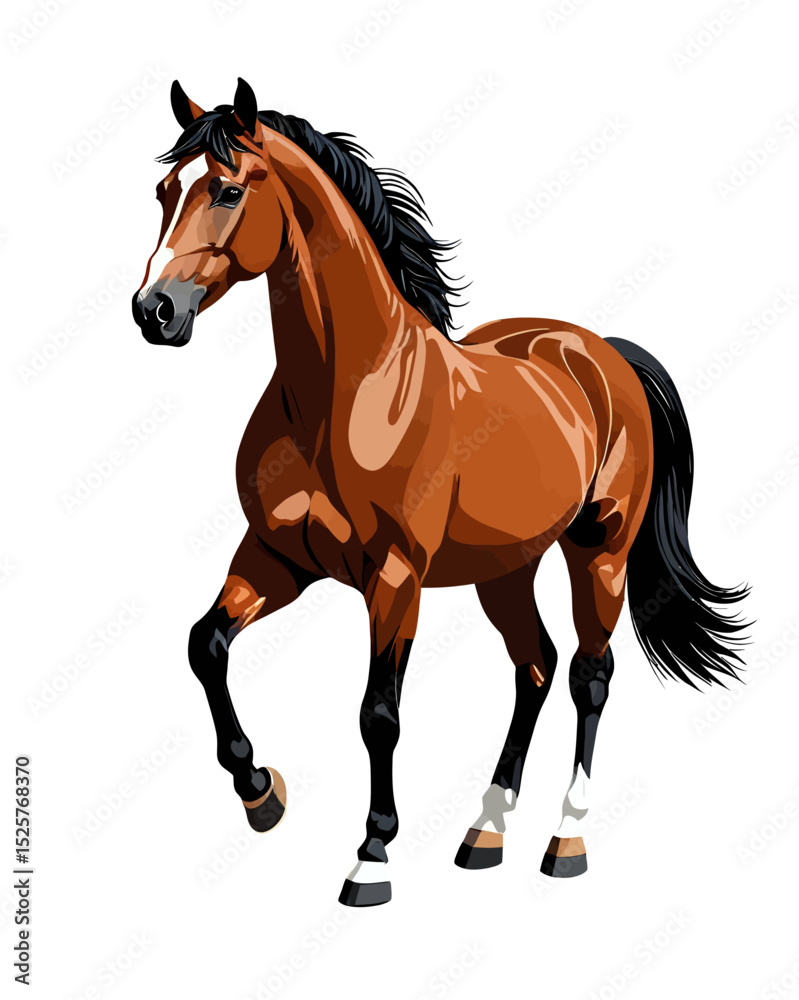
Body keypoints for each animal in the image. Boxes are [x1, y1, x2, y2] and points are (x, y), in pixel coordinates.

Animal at [132, 78, 748, 906]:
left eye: (228, 189)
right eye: (164, 191)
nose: (154, 310)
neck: (347, 391)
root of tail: (599, 352)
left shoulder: (394, 577)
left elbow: (378, 714)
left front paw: (371, 858)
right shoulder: (275, 558)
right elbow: (206, 646)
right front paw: (262, 793)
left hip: (600, 552)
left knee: (588, 676)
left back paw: (565, 840)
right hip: (505, 568)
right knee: (534, 667)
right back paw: (484, 831)